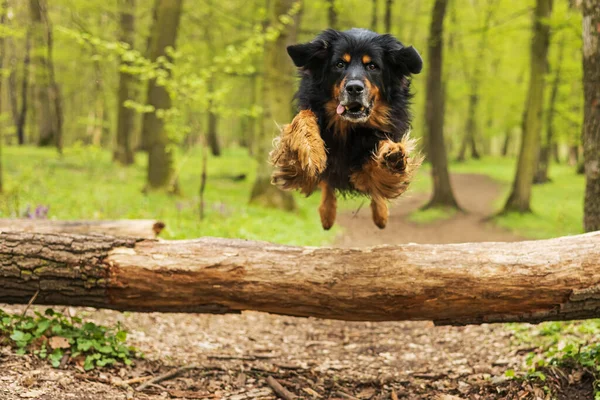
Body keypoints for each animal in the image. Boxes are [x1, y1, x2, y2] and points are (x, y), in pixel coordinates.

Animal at [270, 28, 424, 230]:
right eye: (340, 64)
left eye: (372, 66)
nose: (354, 88)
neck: (350, 128)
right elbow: (304, 117)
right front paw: (310, 149)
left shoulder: (364, 167)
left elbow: (378, 168)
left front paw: (391, 157)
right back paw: (327, 214)